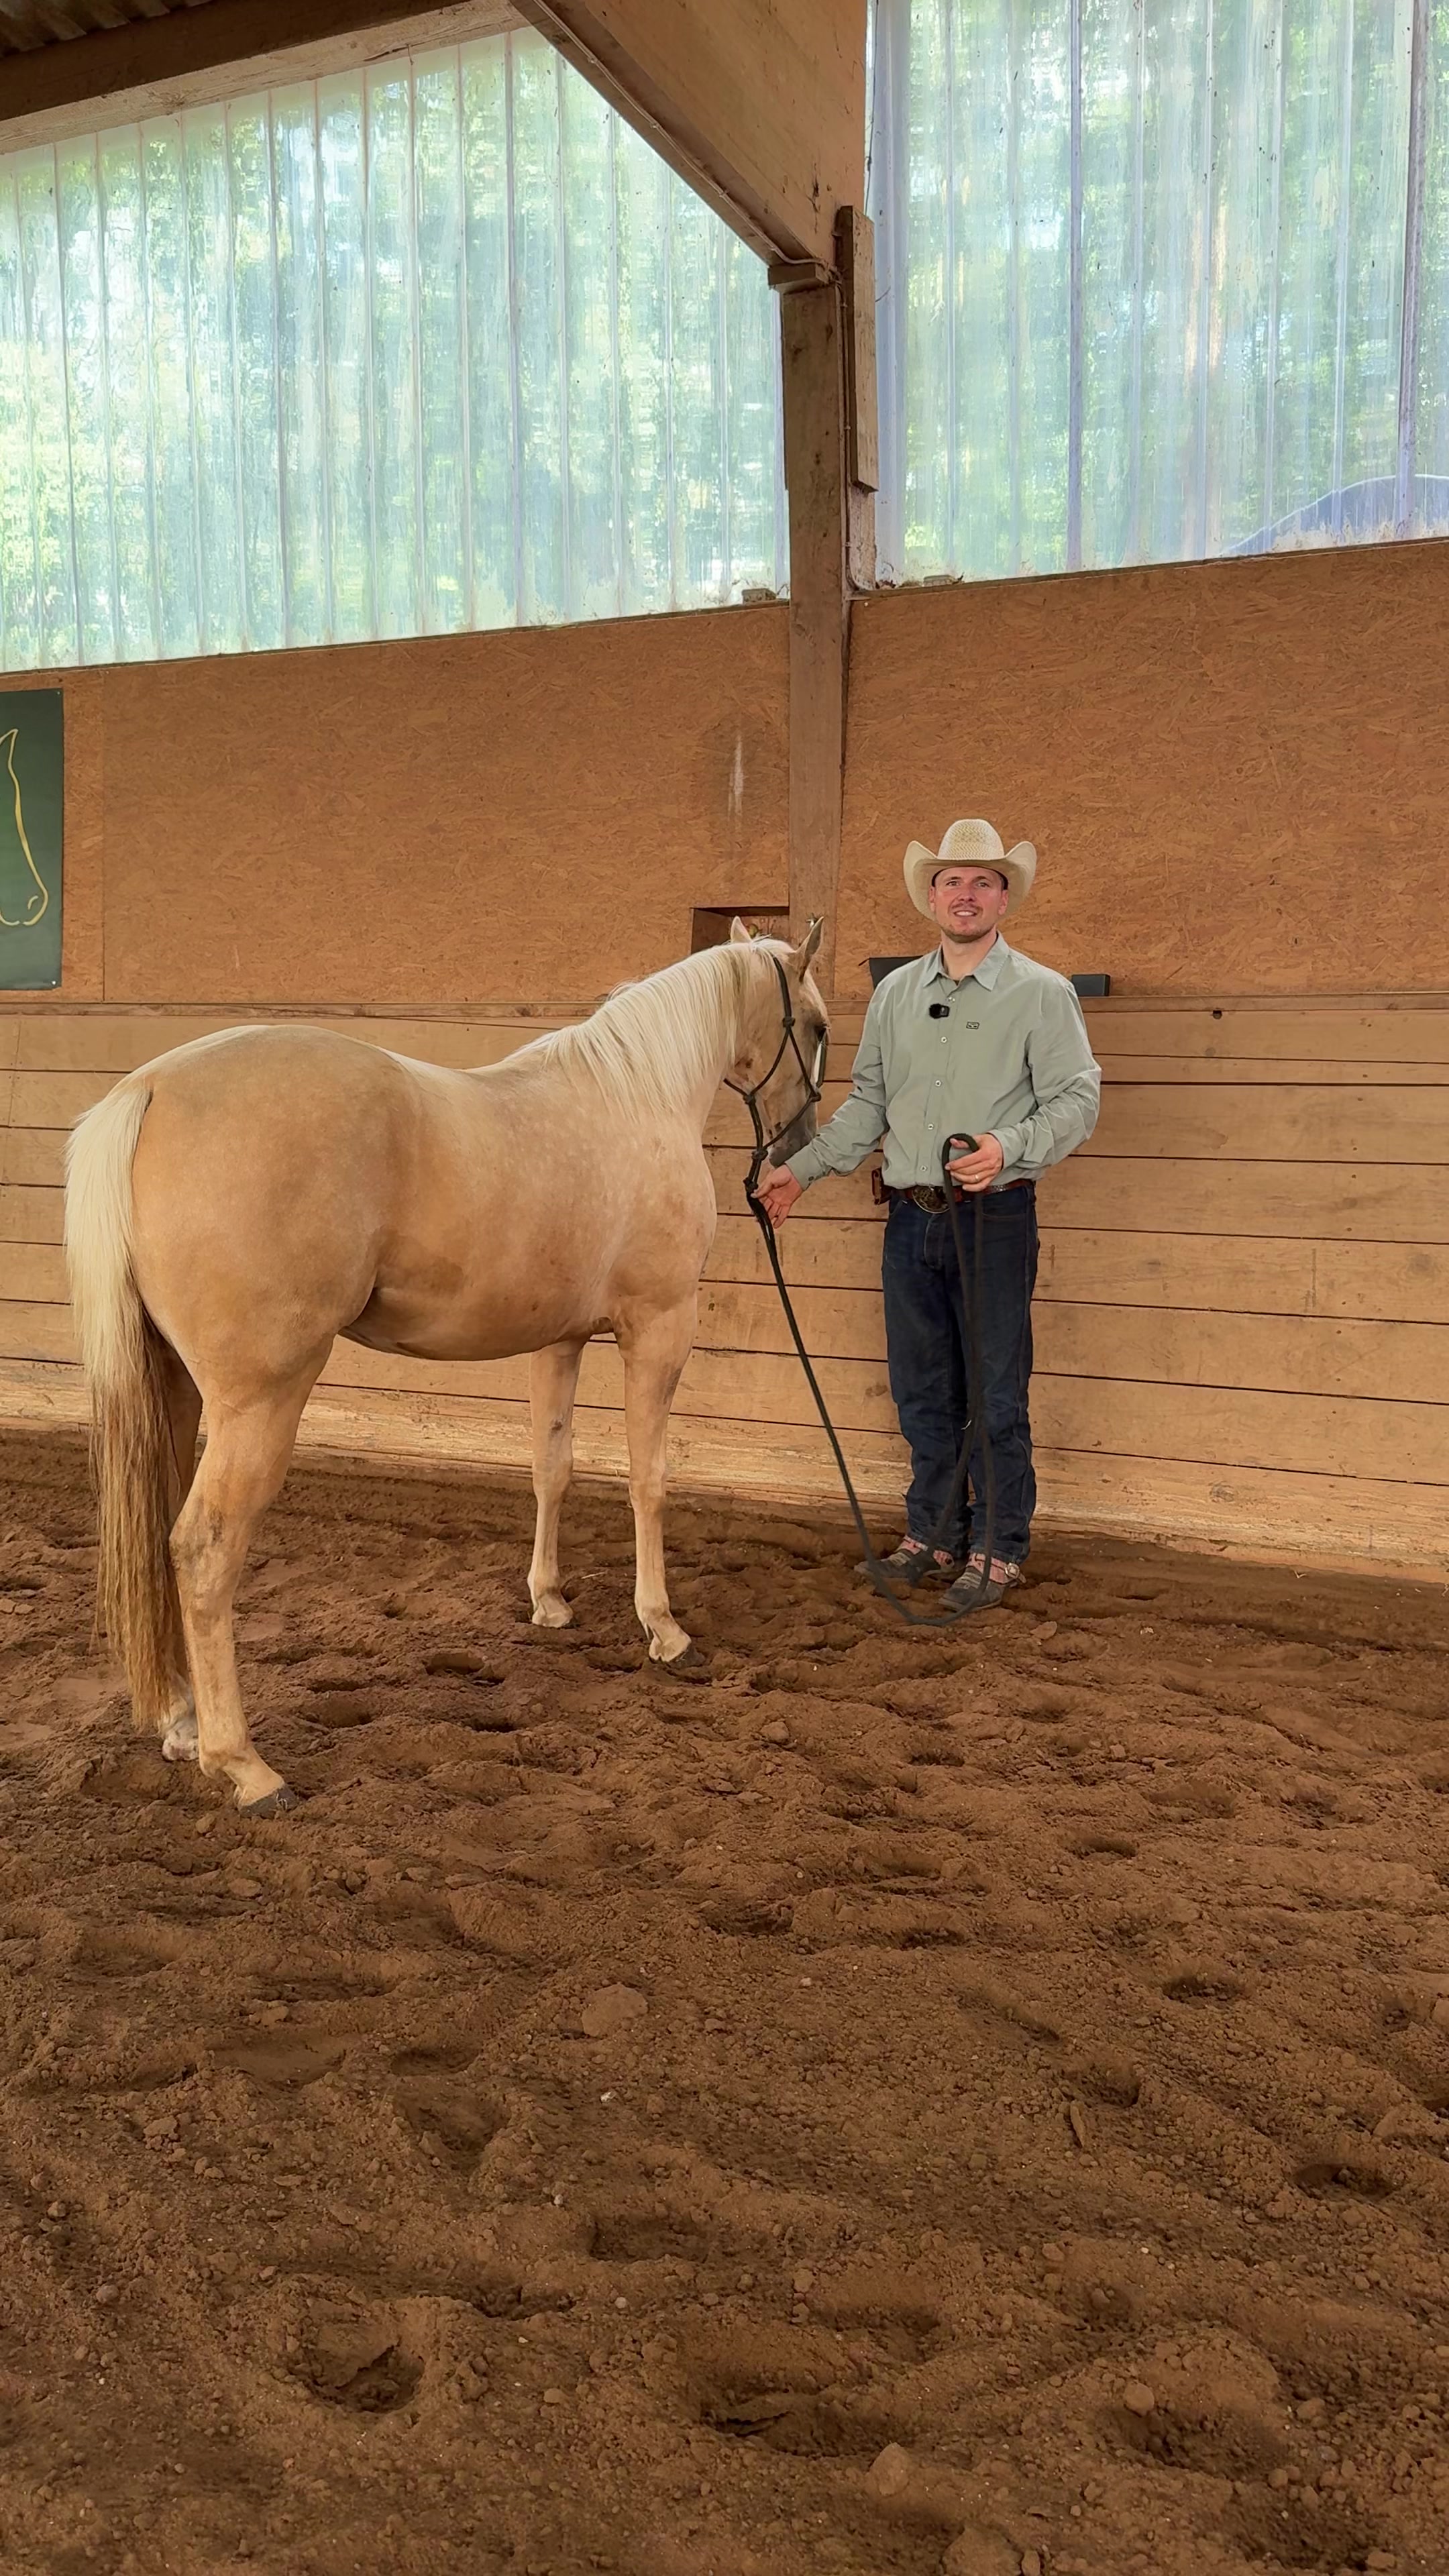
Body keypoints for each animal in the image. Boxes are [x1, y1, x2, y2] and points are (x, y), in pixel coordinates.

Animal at [63, 921, 827, 1817]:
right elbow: (648, 1479)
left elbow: (553, 1467)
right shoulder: (659, 1329)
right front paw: (664, 1629)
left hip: (175, 1390)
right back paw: (245, 1766)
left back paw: (183, 1724)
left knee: (160, 1536)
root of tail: (148, 1090)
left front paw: (549, 1601)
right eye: (816, 1026)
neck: (635, 1095)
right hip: (261, 1401)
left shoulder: (559, 1342)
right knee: (203, 1551)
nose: (795, 1149)